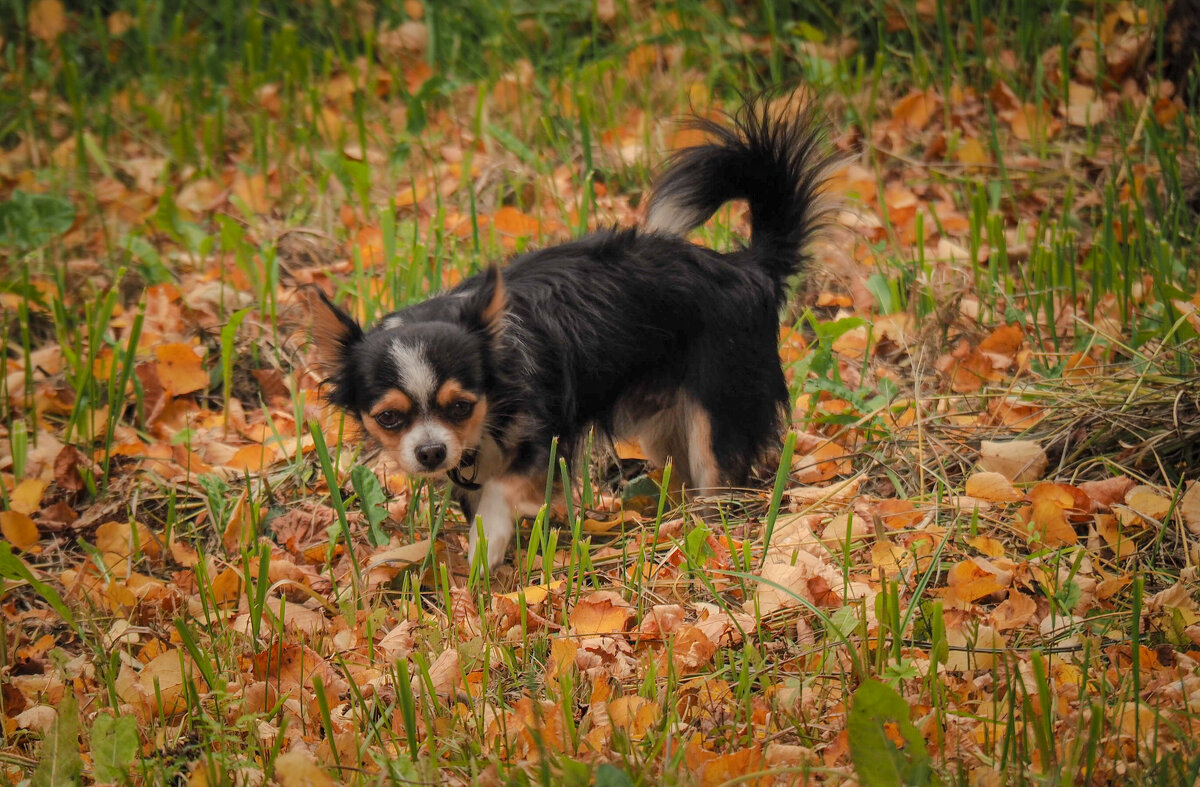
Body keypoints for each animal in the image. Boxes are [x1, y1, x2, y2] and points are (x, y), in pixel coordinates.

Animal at [309, 95, 830, 568]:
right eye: (389, 418)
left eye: (460, 407)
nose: (432, 452)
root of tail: (750, 268)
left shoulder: (544, 448)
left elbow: (501, 493)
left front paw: (486, 546)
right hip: (663, 425)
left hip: (716, 414)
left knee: (719, 476)